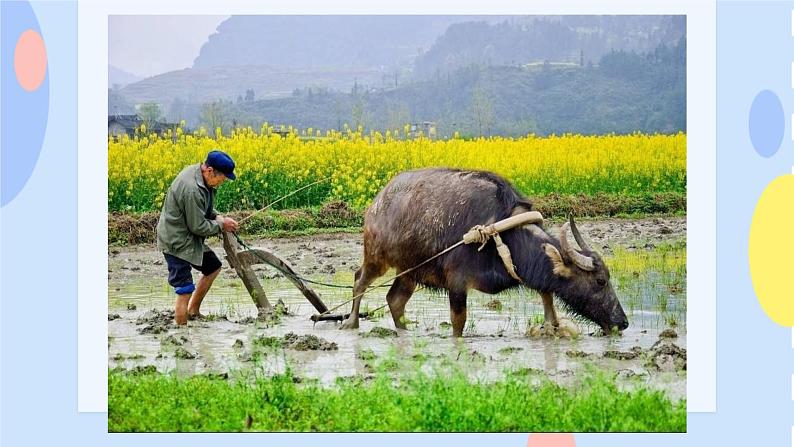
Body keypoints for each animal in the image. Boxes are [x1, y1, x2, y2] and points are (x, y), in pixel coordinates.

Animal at [338, 168, 628, 336]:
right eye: (600, 281)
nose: (622, 322)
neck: (502, 233)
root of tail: (377, 203)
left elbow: (549, 305)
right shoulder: (457, 284)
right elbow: (458, 323)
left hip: (410, 271)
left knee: (395, 300)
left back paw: (404, 331)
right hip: (377, 257)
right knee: (359, 281)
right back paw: (351, 322)